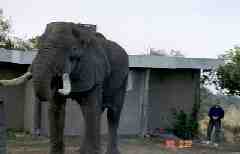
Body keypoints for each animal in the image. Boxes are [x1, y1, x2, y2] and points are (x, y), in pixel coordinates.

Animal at [0, 22, 129, 154]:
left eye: (74, 50)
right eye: (39, 46)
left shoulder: (95, 72)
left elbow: (91, 109)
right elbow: (56, 108)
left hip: (123, 78)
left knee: (113, 113)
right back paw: (81, 150)